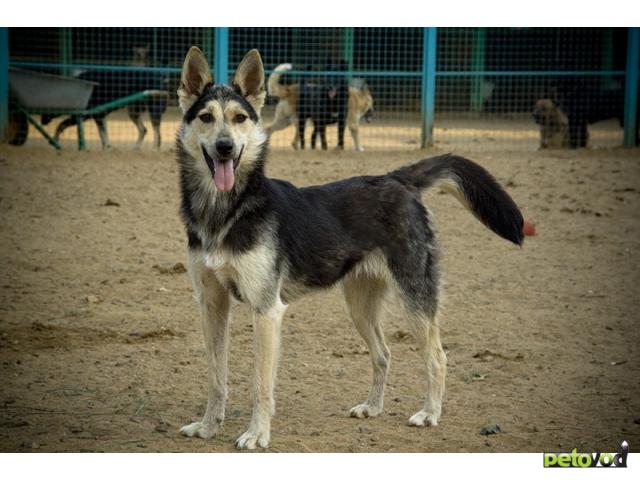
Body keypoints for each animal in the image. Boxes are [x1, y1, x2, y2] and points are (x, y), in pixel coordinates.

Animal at [176, 47, 524, 448]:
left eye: (239, 118)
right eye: (205, 117)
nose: (225, 147)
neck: (224, 210)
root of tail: (397, 179)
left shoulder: (266, 310)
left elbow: (260, 385)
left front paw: (257, 434)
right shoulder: (211, 304)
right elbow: (216, 377)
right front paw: (208, 427)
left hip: (415, 297)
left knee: (437, 358)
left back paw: (429, 414)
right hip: (359, 305)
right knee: (384, 353)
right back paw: (372, 407)